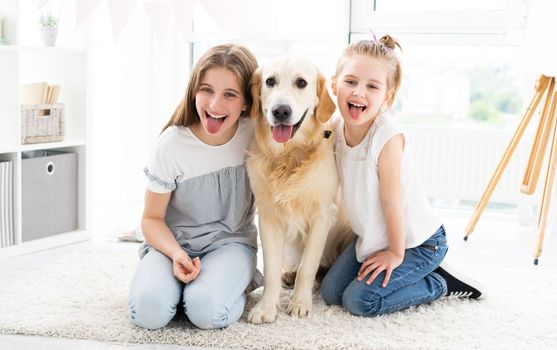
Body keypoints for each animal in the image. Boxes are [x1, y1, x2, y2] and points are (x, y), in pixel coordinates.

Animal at [247, 56, 352, 324]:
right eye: (270, 81)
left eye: (302, 83)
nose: (281, 111)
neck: (289, 156)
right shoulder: (268, 216)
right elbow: (271, 269)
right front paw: (266, 307)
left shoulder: (322, 215)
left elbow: (308, 266)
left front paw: (299, 303)